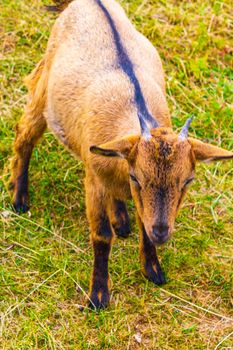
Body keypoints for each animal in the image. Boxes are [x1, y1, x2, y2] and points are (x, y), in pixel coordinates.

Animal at [10, 0, 232, 308]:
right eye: (136, 177)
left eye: (187, 181)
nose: (162, 232)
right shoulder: (93, 180)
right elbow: (102, 236)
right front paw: (99, 296)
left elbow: (142, 222)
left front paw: (153, 269)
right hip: (43, 91)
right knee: (25, 135)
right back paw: (19, 197)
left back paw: (121, 219)